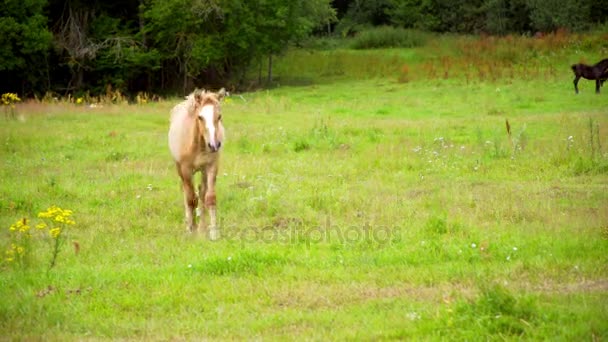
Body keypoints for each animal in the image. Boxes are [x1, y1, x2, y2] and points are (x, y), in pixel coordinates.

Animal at [169, 87, 226, 239]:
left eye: (219, 116)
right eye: (200, 117)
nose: (214, 145)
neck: (198, 145)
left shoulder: (211, 166)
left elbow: (209, 198)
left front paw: (212, 233)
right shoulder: (186, 170)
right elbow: (191, 200)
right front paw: (191, 230)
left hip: (203, 171)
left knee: (201, 193)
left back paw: (202, 227)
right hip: (180, 169)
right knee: (187, 194)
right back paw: (189, 225)